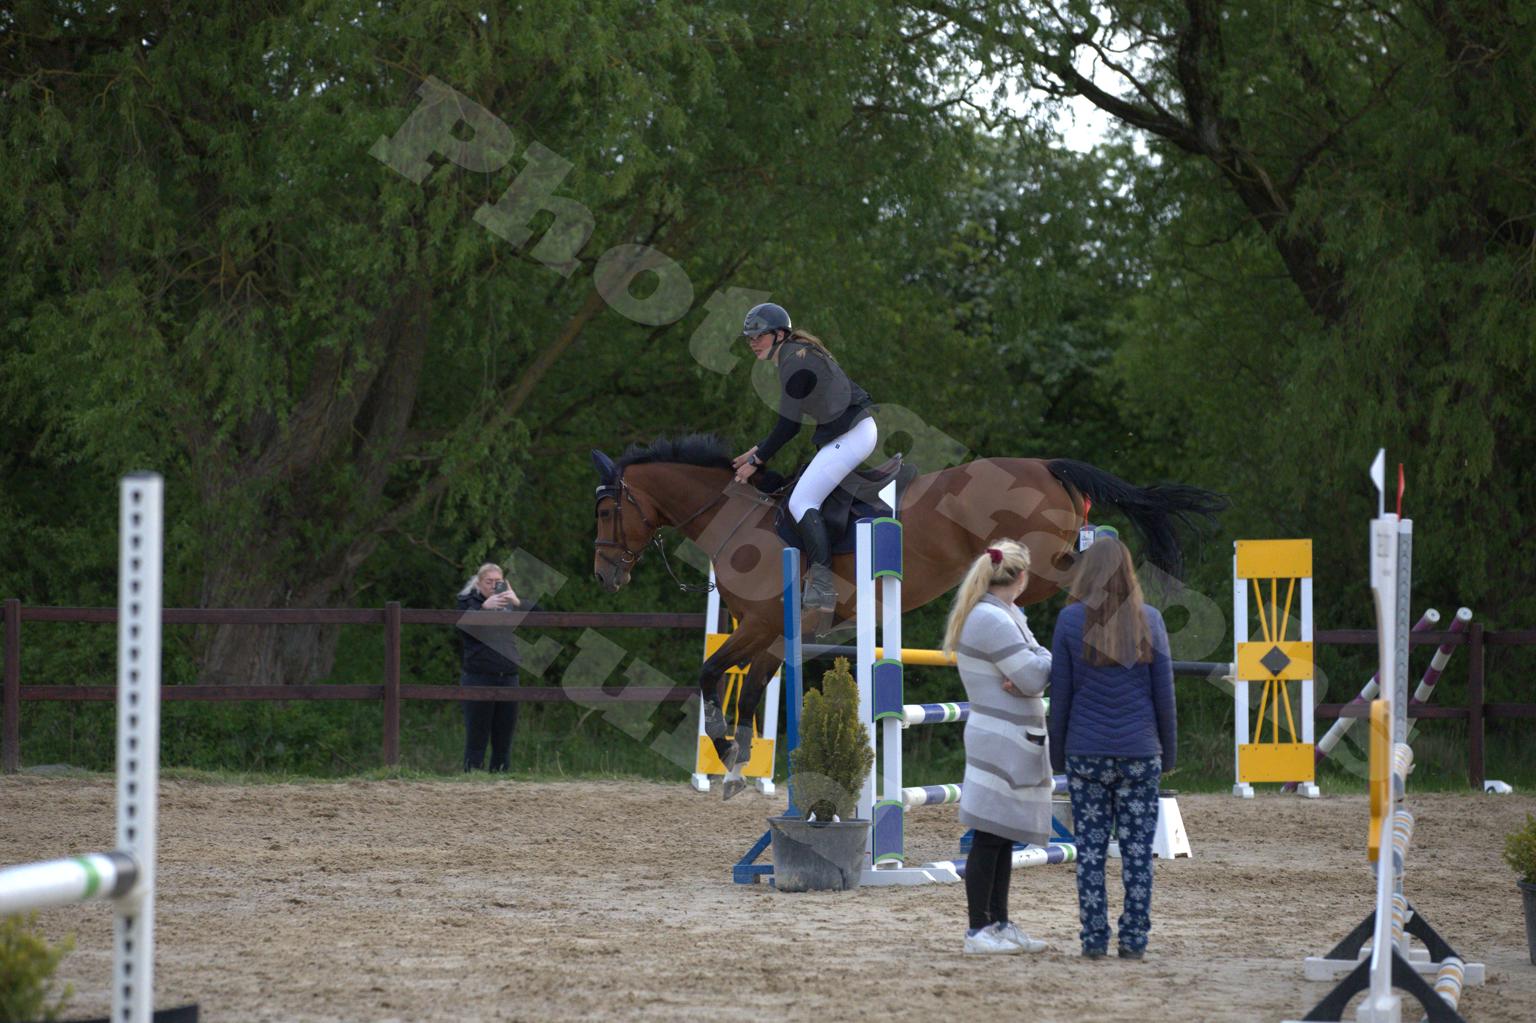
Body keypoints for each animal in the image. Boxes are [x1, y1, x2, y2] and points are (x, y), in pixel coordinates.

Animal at [591, 435, 1225, 798]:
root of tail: (1046, 465)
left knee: (1095, 570)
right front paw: (735, 767)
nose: (605, 575)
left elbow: (708, 675)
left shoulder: (762, 627)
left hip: (1045, 563)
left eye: (605, 510)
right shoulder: (769, 635)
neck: (737, 519)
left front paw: (725, 750)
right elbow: (745, 693)